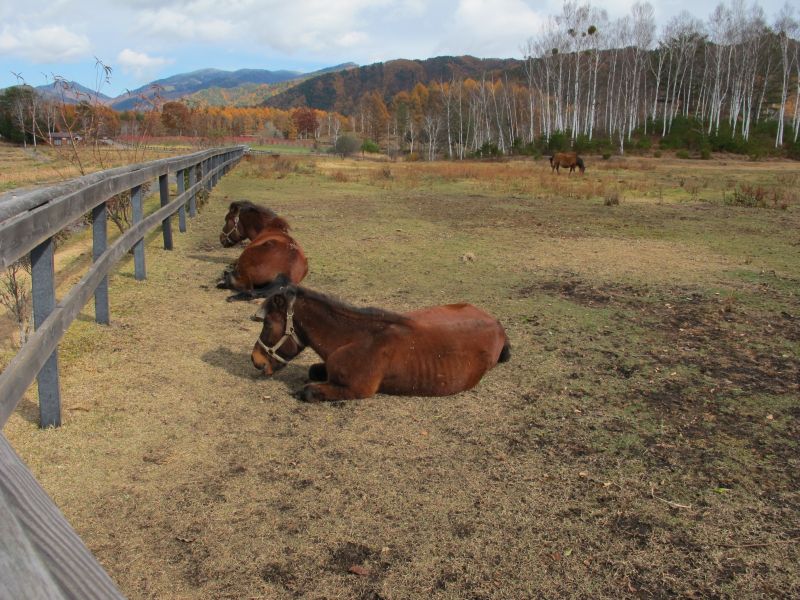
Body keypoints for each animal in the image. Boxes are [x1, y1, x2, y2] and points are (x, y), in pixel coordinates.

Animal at [250, 276, 512, 404]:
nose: (255, 360)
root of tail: (497, 324)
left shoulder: (357, 389)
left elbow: (308, 392)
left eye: (267, 323)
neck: (357, 339)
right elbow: (314, 370)